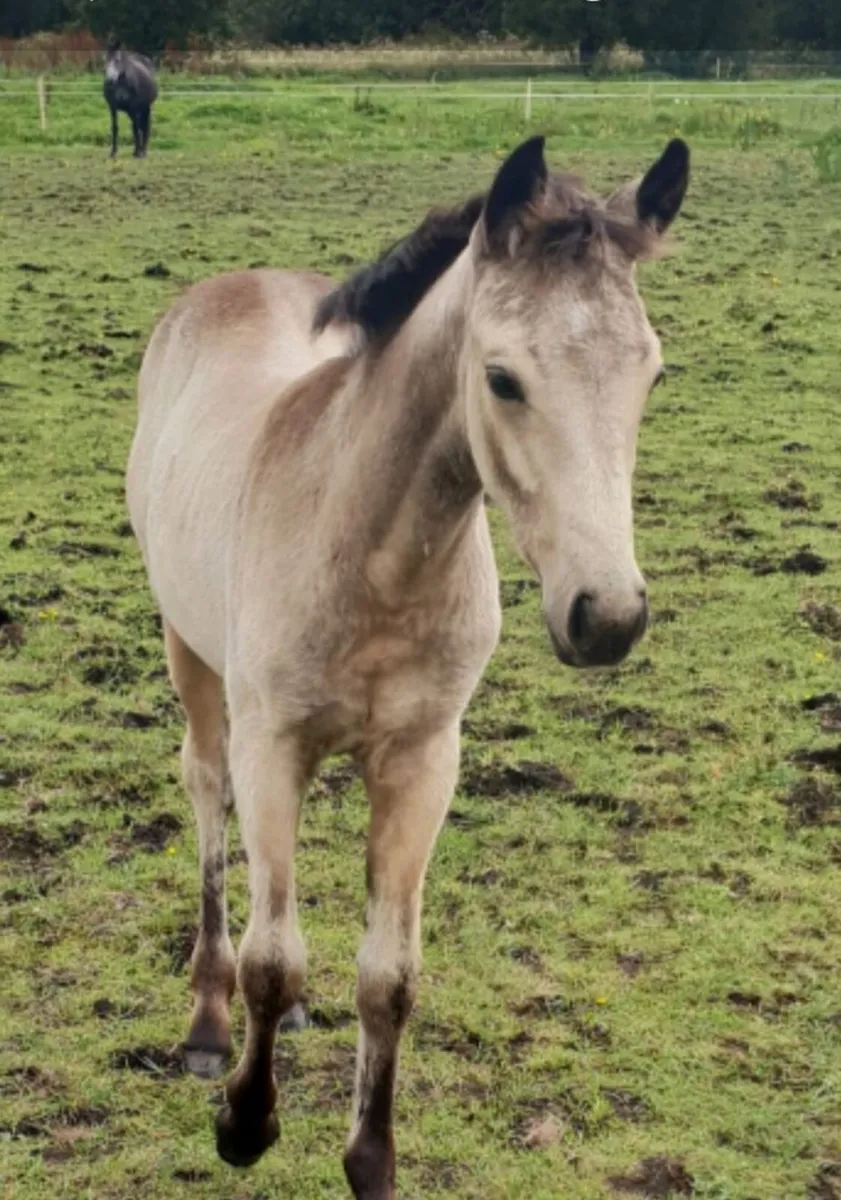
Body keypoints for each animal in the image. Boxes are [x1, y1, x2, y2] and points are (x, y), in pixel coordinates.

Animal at [126, 135, 689, 1198]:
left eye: (651, 375)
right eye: (503, 379)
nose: (608, 617)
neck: (369, 550)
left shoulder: (426, 760)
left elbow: (388, 977)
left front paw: (371, 1159)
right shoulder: (272, 745)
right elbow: (272, 956)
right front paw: (246, 1124)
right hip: (190, 650)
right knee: (207, 796)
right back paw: (210, 1026)